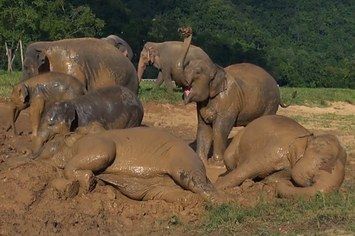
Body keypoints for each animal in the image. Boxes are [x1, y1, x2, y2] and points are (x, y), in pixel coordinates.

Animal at [37, 125, 218, 203]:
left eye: (49, 142)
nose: (35, 154)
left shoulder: (93, 143)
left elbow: (105, 151)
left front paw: (88, 181)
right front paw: (94, 181)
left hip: (182, 159)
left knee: (193, 180)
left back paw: (218, 201)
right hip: (157, 188)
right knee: (173, 194)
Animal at [175, 27, 294, 164]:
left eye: (198, 72)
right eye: (188, 66)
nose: (185, 30)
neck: (216, 67)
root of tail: (277, 87)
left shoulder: (229, 101)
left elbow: (220, 129)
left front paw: (217, 162)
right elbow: (203, 128)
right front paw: (202, 161)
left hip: (271, 103)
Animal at [214, 115, 348, 198]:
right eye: (323, 162)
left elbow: (286, 173)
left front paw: (267, 181)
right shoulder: (272, 149)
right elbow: (245, 170)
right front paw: (217, 186)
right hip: (236, 141)